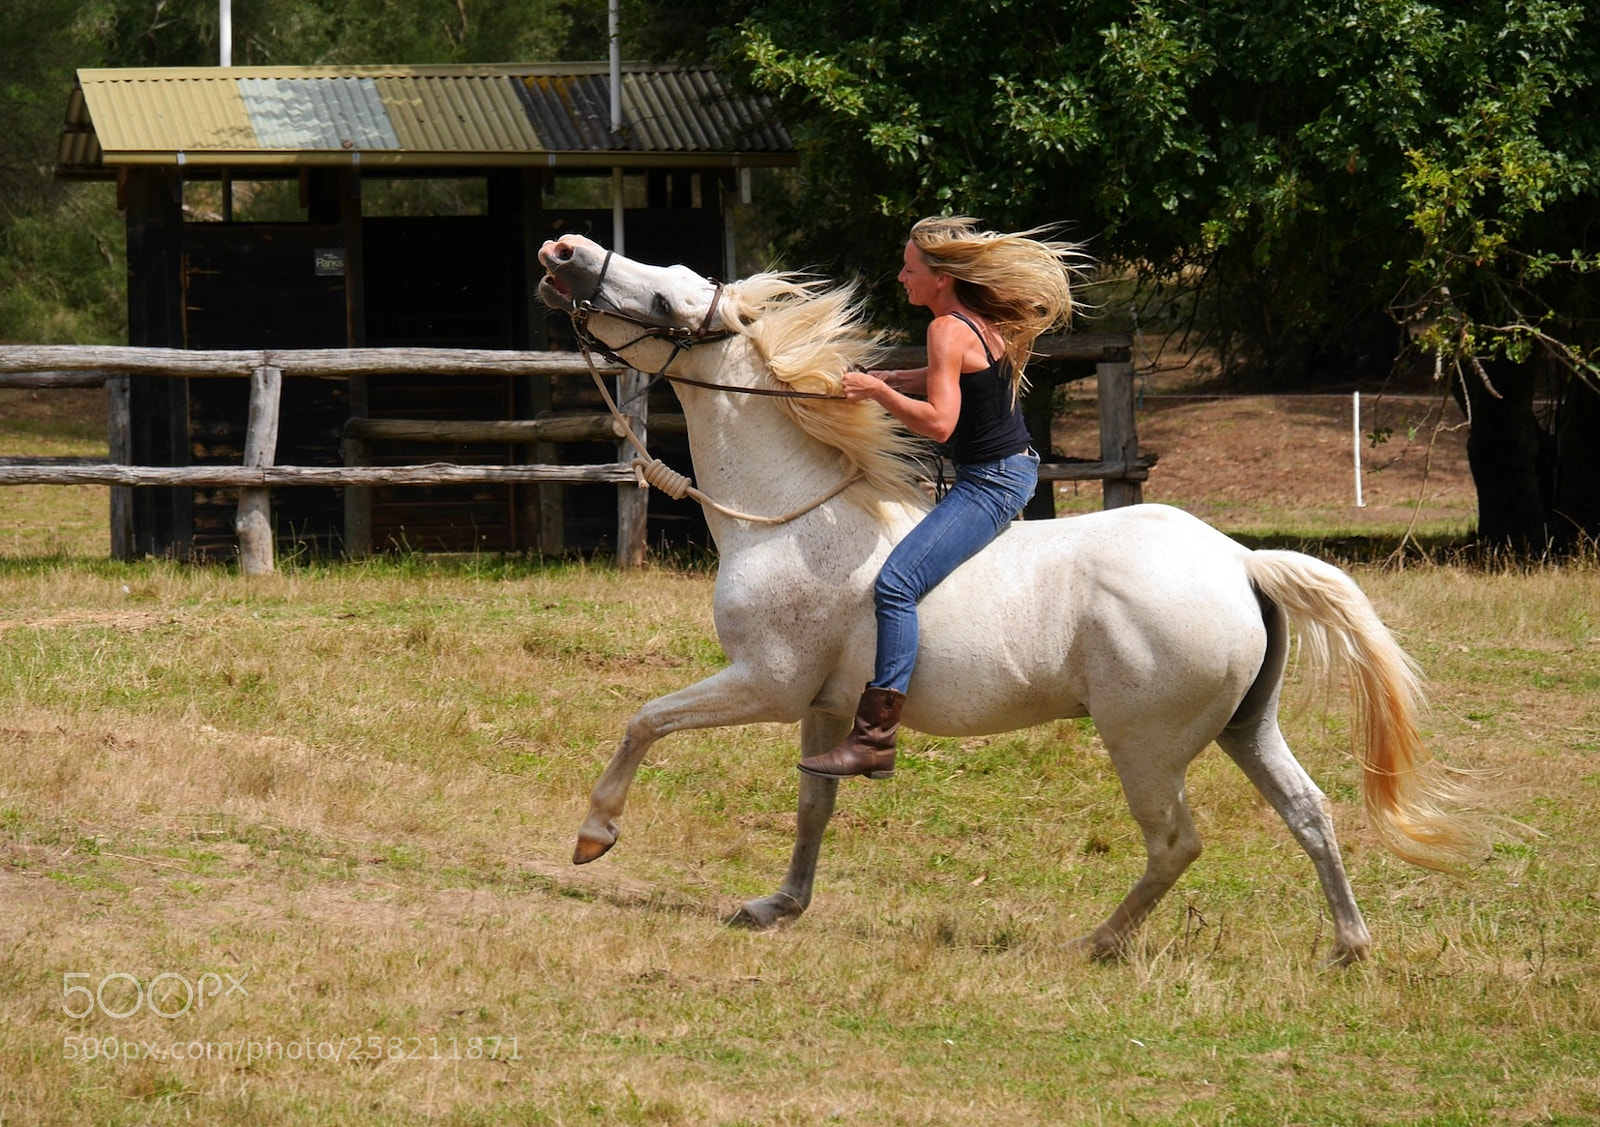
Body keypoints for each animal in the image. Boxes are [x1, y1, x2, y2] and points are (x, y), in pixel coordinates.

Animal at [536, 233, 1483, 965]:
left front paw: (594, 835)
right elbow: (814, 805)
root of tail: (1241, 563)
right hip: (1248, 726)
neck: (787, 515)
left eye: (664, 296)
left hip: (1145, 743)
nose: (562, 251)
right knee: (1310, 811)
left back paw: (1094, 942)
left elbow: (646, 719)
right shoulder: (826, 706)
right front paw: (777, 904)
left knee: (1176, 840)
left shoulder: (764, 684)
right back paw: (1349, 945)